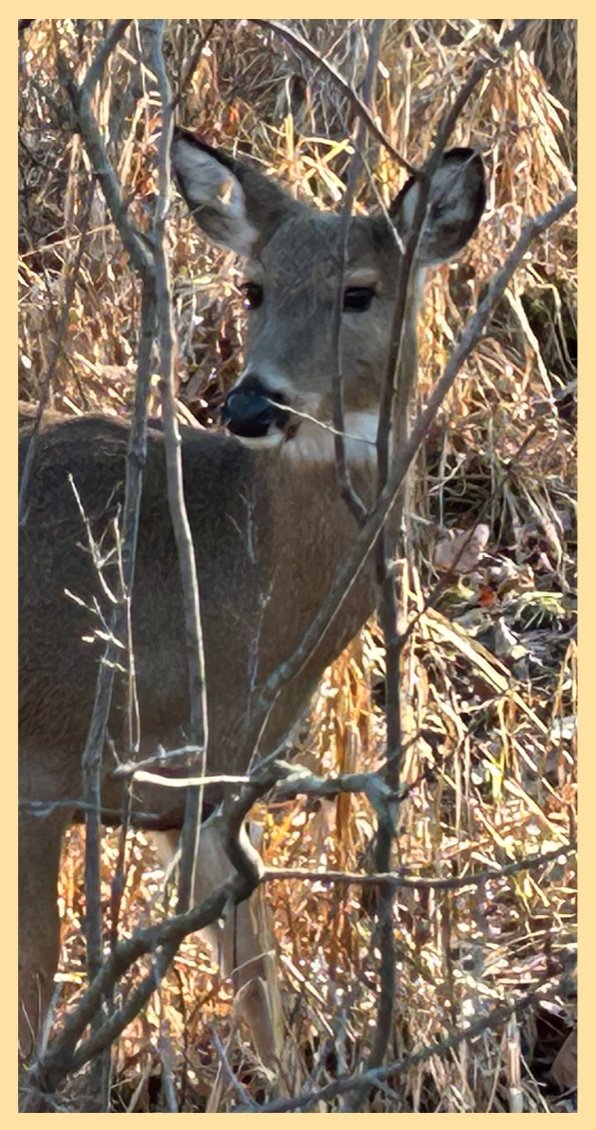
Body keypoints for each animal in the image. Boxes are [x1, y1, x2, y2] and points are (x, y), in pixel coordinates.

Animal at [18, 129, 485, 1079]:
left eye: (358, 292)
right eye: (254, 287)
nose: (247, 403)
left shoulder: (203, 791)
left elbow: (256, 977)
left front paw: (286, 1086)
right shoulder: (42, 770)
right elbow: (36, 980)